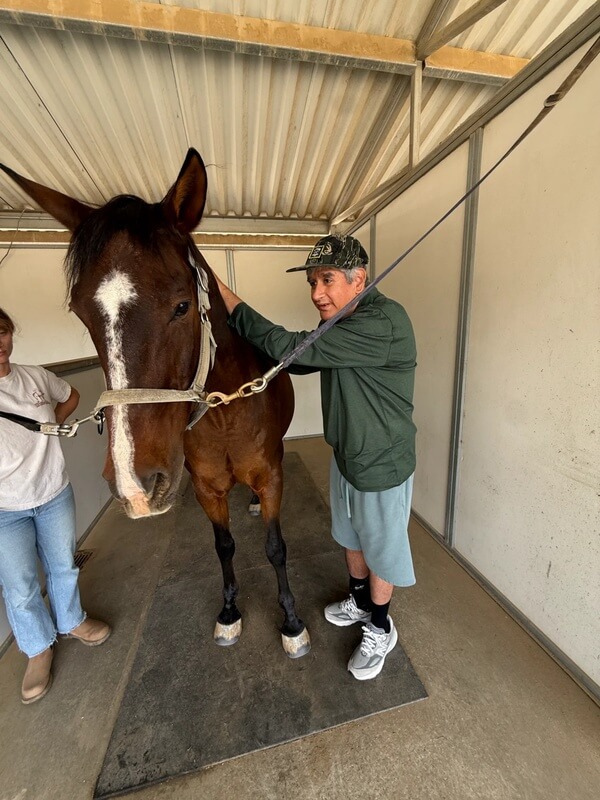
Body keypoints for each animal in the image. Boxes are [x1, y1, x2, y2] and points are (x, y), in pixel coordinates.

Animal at [0, 149, 310, 658]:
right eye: (82, 315)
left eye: (182, 306)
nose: (135, 485)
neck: (225, 412)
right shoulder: (205, 488)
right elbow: (224, 547)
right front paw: (230, 613)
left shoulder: (271, 477)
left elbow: (276, 549)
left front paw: (291, 622)